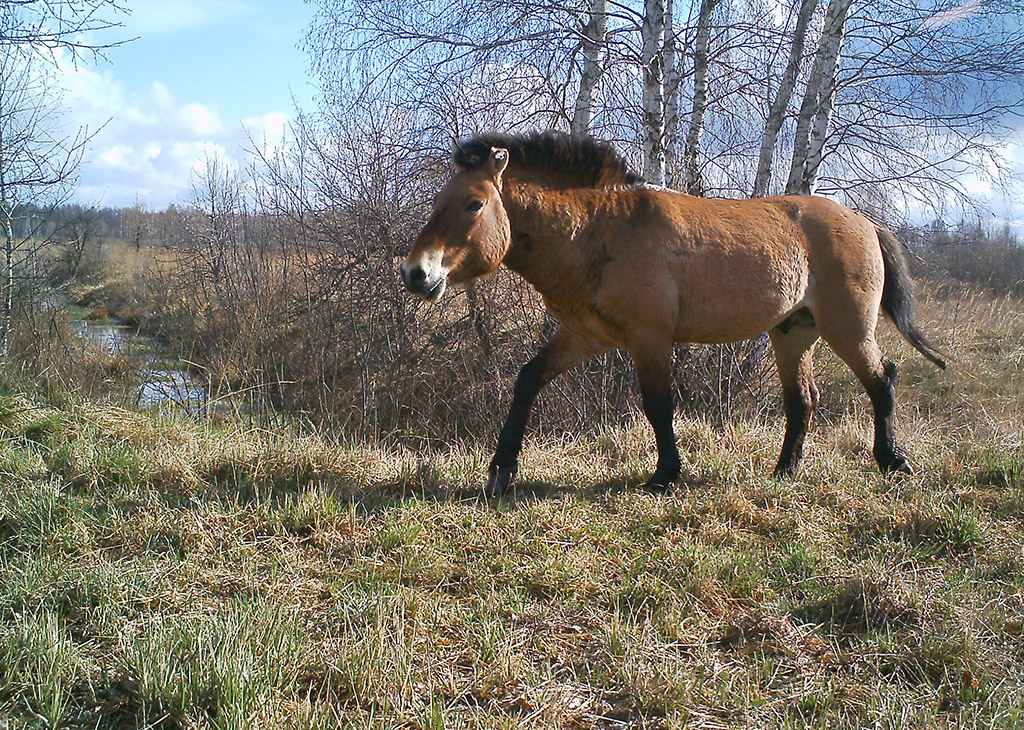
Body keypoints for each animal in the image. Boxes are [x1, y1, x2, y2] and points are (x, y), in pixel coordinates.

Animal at [399, 131, 942, 495]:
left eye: (473, 204)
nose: (416, 274)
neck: (601, 230)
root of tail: (865, 222)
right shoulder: (585, 335)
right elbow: (528, 380)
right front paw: (501, 471)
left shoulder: (650, 338)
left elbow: (658, 404)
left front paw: (665, 473)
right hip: (792, 333)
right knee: (802, 400)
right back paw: (785, 471)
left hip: (847, 328)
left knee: (882, 379)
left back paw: (892, 461)